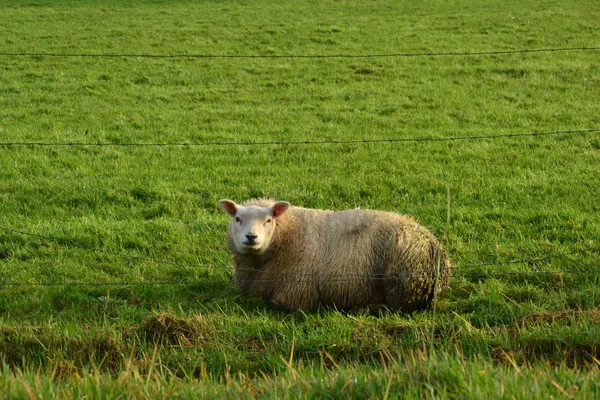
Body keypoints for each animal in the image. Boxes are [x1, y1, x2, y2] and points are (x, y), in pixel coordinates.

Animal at [219, 198, 450, 314]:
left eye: (268, 220)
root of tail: (433, 243)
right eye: (238, 219)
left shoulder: (296, 293)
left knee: (397, 307)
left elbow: (280, 303)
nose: (251, 237)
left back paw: (363, 309)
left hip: (402, 284)